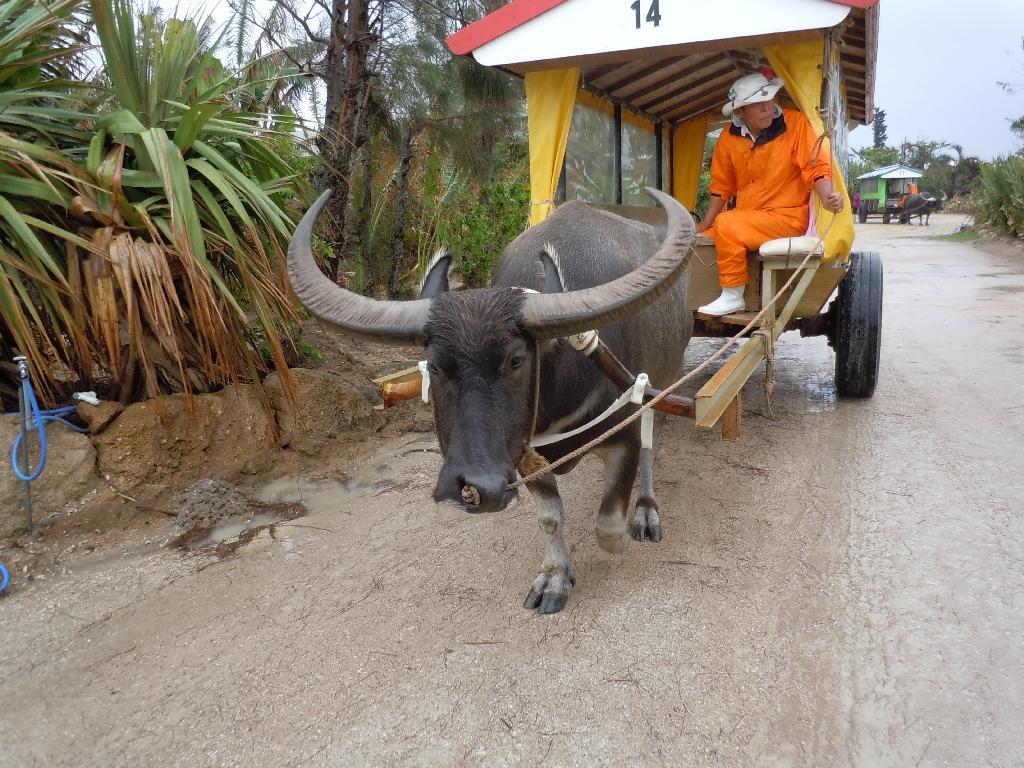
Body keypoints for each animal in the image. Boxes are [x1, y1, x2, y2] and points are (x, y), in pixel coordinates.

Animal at [288, 189, 696, 618]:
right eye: (435, 365)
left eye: (516, 360)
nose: (476, 488)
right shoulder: (521, 455)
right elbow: (550, 518)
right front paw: (556, 576)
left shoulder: (625, 432)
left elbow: (609, 524)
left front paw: (618, 537)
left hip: (664, 379)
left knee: (652, 446)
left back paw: (646, 510)